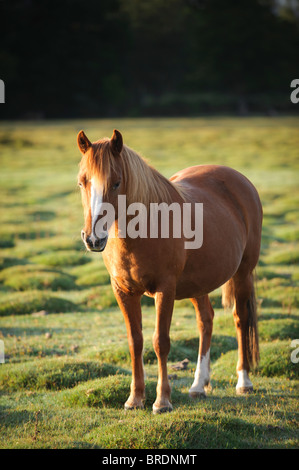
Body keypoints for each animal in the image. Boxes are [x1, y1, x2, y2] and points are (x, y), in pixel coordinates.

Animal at [77, 127, 262, 412]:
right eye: (82, 182)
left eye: (116, 183)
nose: (93, 239)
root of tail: (240, 180)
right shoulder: (123, 292)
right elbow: (135, 342)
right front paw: (135, 399)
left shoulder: (165, 289)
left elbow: (160, 342)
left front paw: (162, 401)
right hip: (200, 283)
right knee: (206, 321)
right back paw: (198, 385)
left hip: (243, 273)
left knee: (240, 319)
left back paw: (244, 381)